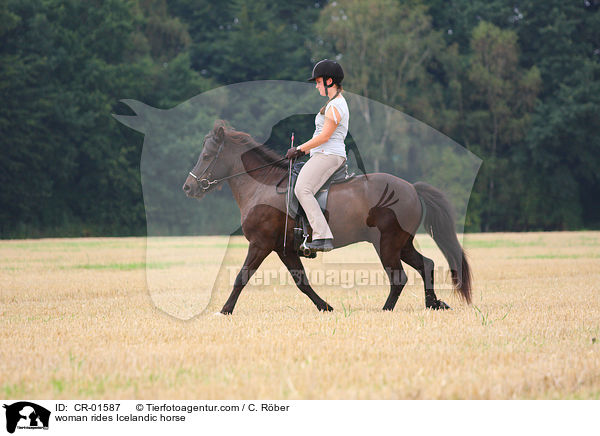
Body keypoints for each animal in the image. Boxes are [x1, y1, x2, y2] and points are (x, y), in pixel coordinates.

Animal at [183, 121, 474, 316]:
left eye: (206, 155)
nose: (189, 187)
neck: (261, 185)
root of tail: (411, 188)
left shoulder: (261, 245)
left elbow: (241, 277)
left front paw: (225, 310)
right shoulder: (284, 249)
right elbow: (302, 282)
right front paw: (326, 307)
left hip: (387, 245)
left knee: (399, 277)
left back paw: (387, 309)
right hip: (402, 244)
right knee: (426, 264)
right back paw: (433, 303)